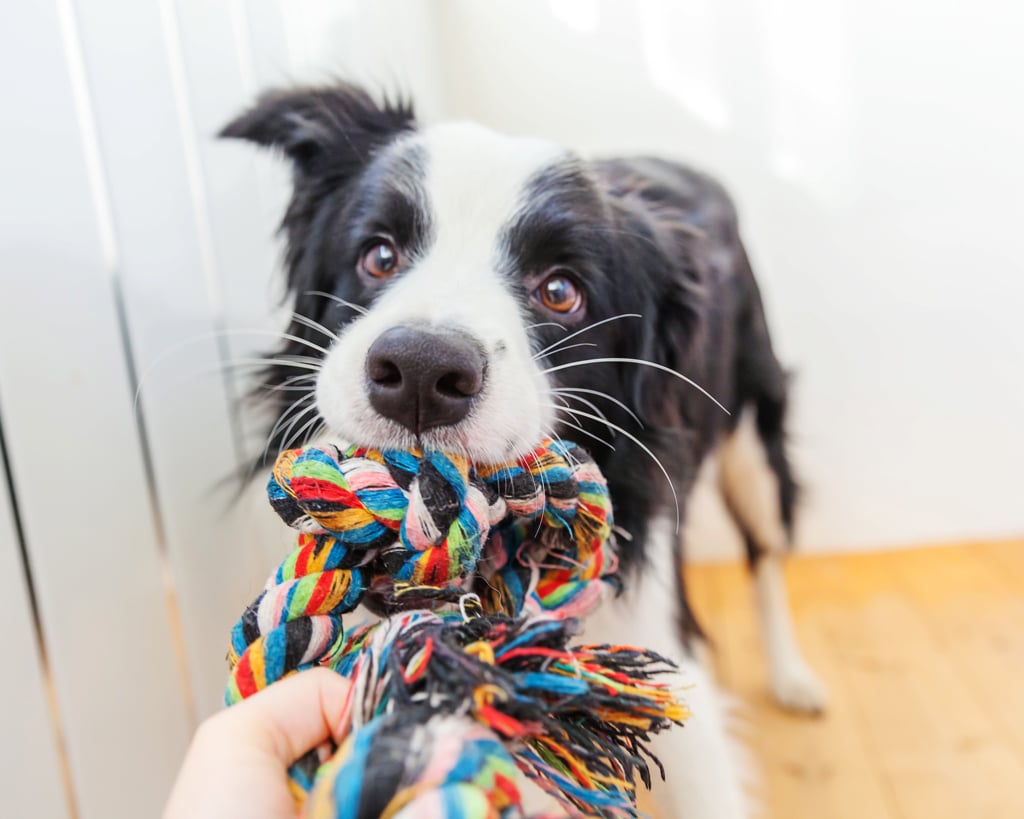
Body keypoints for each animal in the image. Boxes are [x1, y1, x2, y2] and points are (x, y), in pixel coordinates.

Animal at [222, 84, 823, 818]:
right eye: (379, 256)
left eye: (561, 291)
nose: (420, 370)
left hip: (755, 436)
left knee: (767, 550)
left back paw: (793, 675)